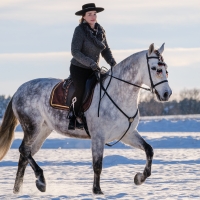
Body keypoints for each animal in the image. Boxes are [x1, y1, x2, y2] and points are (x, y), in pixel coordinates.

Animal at [0, 43, 172, 195]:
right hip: (32, 127)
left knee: (25, 155)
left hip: (43, 130)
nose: (167, 94)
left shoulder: (127, 134)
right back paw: (41, 181)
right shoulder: (98, 137)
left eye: (166, 69)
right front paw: (97, 190)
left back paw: (17, 190)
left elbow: (149, 150)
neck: (118, 93)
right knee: (24, 150)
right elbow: (97, 165)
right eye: (155, 68)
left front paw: (139, 178)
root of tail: (18, 90)